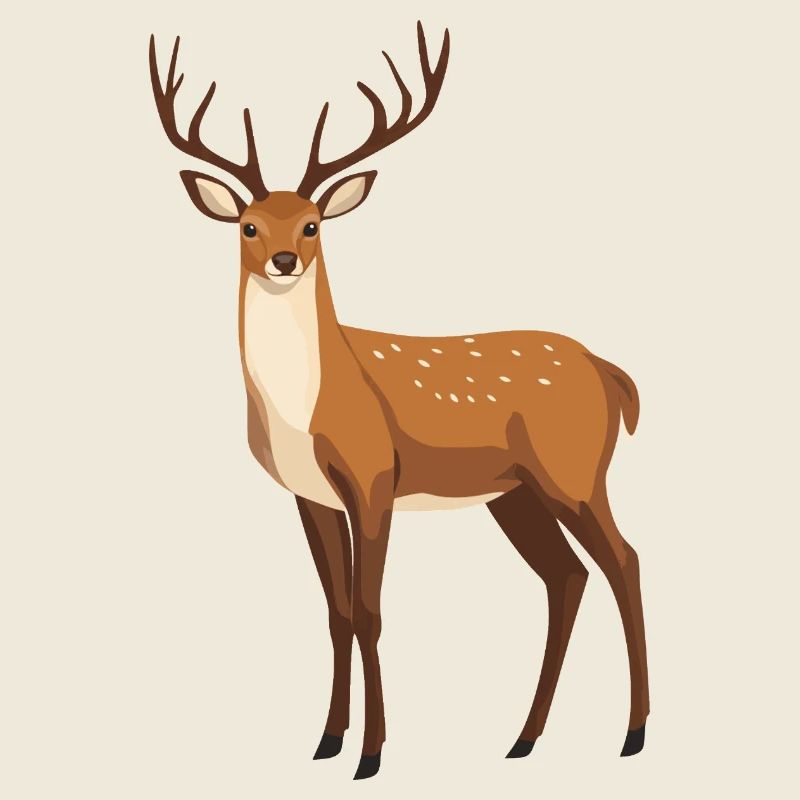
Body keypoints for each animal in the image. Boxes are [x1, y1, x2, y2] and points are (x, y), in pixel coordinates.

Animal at [148, 22, 650, 781]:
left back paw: (633, 733)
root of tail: (610, 372)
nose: (285, 261)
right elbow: (335, 613)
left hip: (574, 471)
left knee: (624, 560)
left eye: (314, 224)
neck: (307, 409)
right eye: (248, 226)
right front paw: (326, 741)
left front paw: (372, 754)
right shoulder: (310, 496)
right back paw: (524, 739)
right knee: (566, 576)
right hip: (515, 493)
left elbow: (370, 611)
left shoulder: (373, 475)